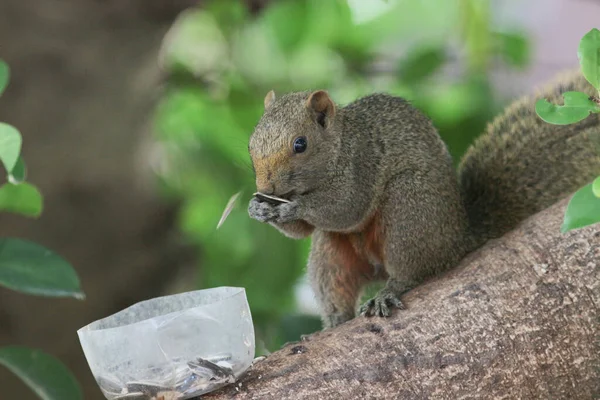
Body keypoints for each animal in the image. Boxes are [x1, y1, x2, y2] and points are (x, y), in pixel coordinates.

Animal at [246, 72, 600, 328]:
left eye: (300, 144)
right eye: (251, 143)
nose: (265, 186)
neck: (339, 144)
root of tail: (459, 239)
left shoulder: (361, 165)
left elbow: (345, 208)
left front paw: (295, 208)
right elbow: (304, 231)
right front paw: (258, 208)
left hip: (410, 211)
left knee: (412, 272)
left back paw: (389, 292)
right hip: (332, 254)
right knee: (334, 282)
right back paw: (334, 323)